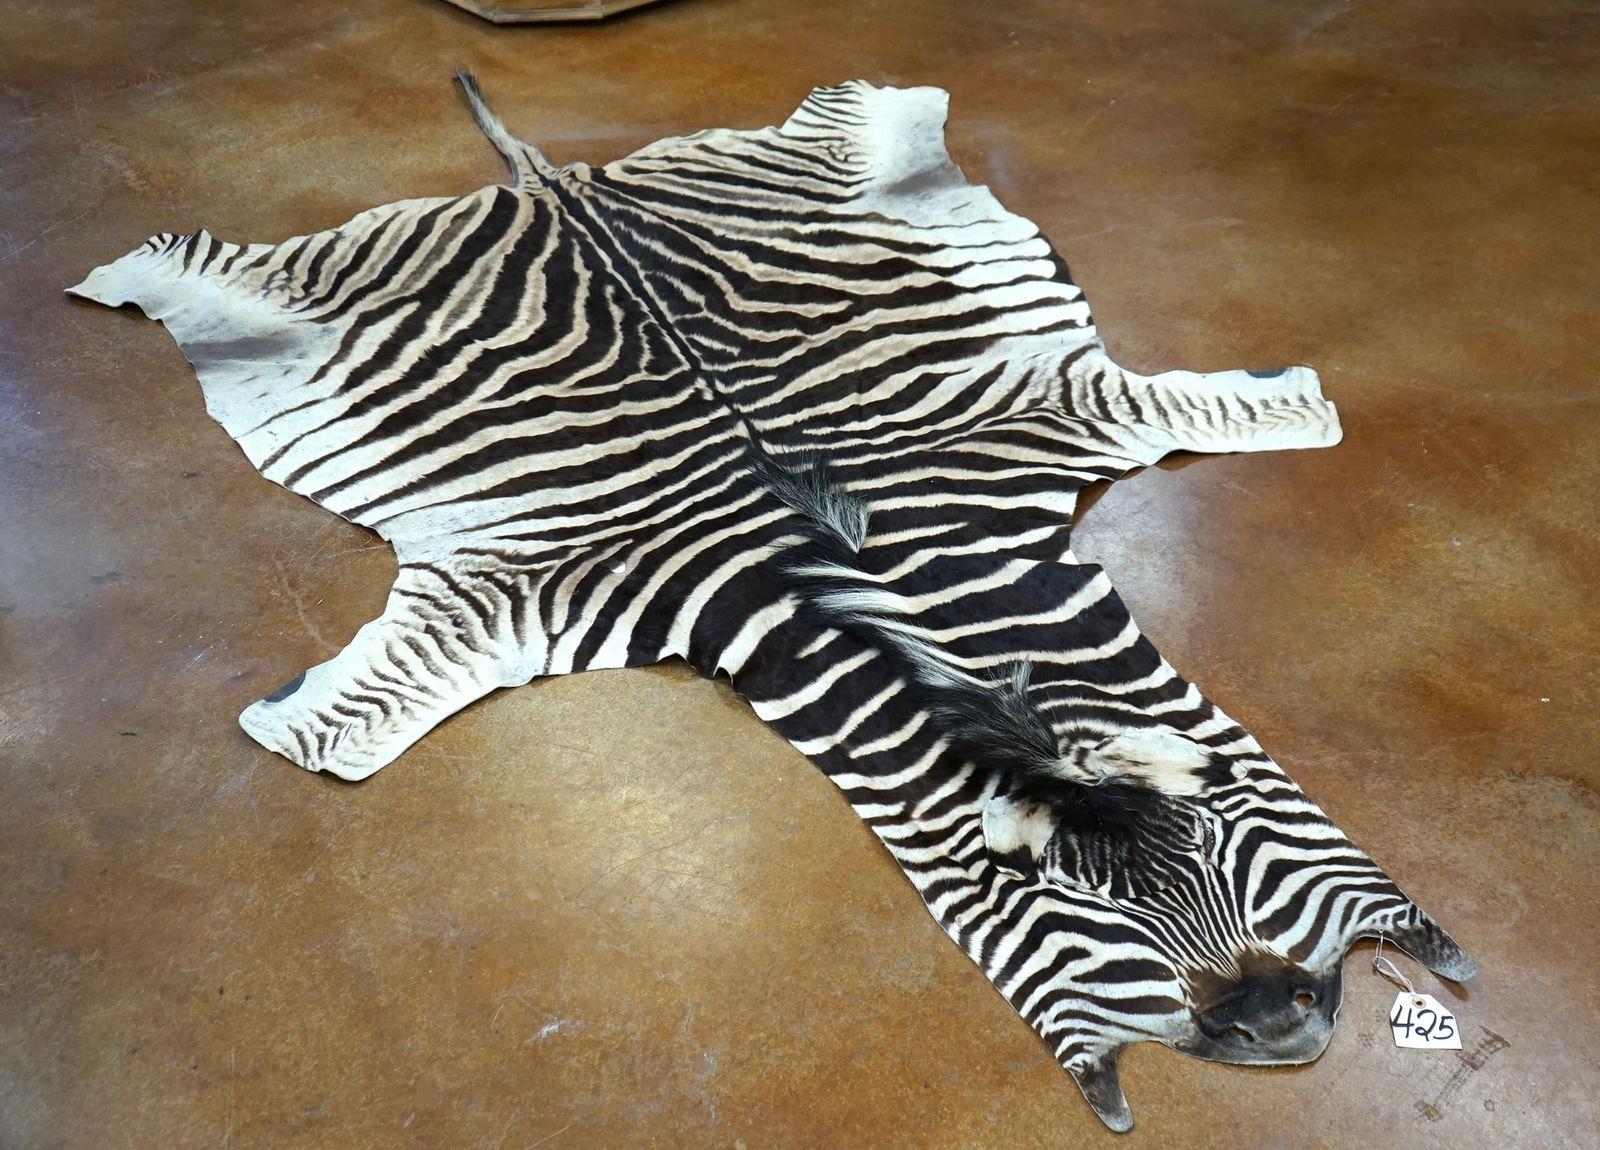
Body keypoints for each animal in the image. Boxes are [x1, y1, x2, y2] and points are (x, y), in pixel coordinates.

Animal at [68, 76, 1473, 1130]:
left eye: (1221, 845)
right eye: (1079, 907)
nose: (1275, 1020)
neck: (921, 607)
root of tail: (555, 184)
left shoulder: (1054, 412)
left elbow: (1255, 407)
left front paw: (1294, 398)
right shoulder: (520, 585)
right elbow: (341, 734)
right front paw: (289, 725)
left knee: (857, 115)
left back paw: (899, 121)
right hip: (303, 279)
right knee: (196, 264)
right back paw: (126, 277)